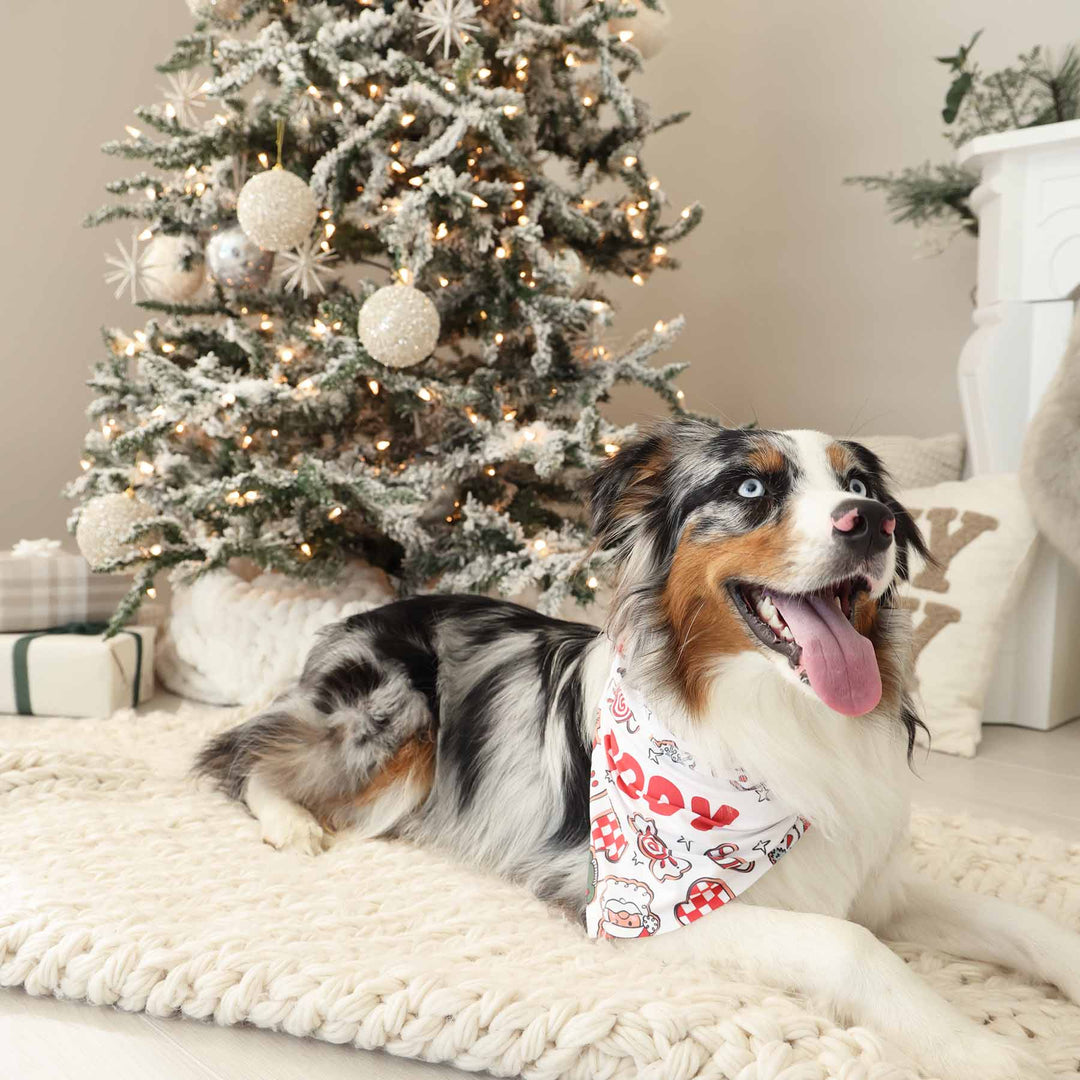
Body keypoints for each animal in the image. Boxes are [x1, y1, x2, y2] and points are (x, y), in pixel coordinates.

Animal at [196, 421, 1080, 1080]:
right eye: (751, 489)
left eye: (860, 487)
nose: (875, 523)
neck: (776, 712)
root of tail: (364, 611)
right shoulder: (636, 906)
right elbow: (847, 946)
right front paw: (986, 1051)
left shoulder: (867, 877)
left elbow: (1020, 922)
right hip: (390, 725)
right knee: (243, 753)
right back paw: (291, 825)